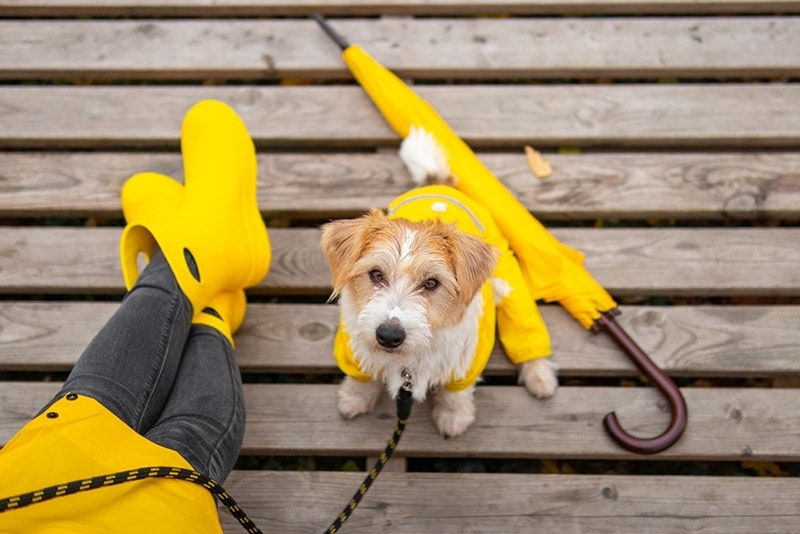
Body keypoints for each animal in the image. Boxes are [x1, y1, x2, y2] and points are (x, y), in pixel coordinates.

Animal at [318, 127, 556, 438]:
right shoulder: (351, 352)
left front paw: (454, 418)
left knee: (527, 336)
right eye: (376, 274)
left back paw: (541, 378)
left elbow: (456, 394)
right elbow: (361, 378)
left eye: (431, 283)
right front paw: (354, 399)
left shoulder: (466, 364)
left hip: (511, 289)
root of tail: (443, 187)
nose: (389, 336)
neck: (407, 362)